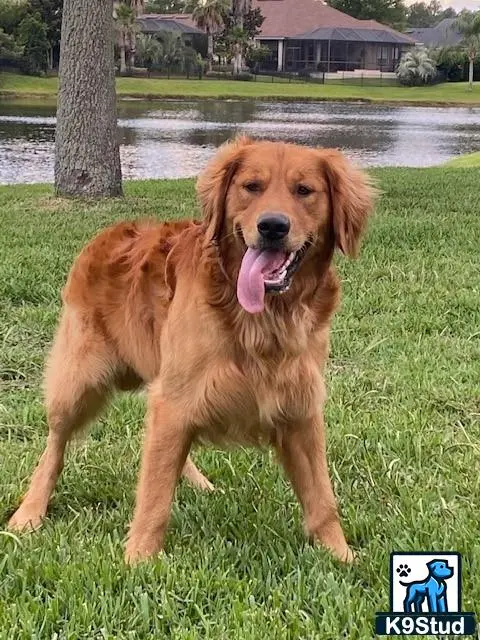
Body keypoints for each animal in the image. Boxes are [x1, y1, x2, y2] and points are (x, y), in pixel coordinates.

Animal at [7, 138, 376, 564]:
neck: (264, 319)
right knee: (55, 445)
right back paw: (30, 512)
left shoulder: (300, 410)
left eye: (304, 191)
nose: (272, 226)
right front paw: (139, 561)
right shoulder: (173, 402)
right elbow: (154, 497)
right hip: (79, 381)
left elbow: (322, 500)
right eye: (251, 187)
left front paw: (342, 556)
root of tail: (106, 233)